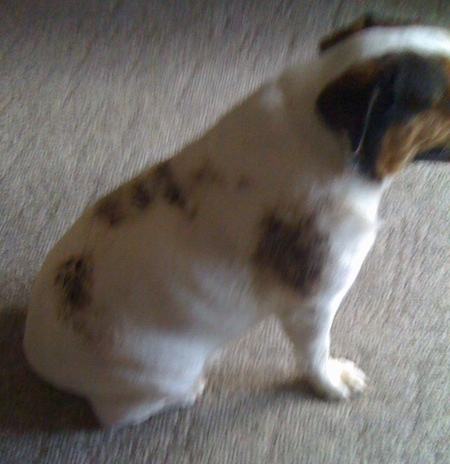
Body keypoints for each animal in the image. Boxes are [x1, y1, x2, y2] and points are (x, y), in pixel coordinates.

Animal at [22, 16, 450, 430]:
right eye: (442, 100)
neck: (320, 133)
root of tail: (37, 353)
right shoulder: (313, 307)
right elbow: (315, 356)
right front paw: (332, 381)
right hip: (164, 376)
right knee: (121, 415)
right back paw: (189, 391)